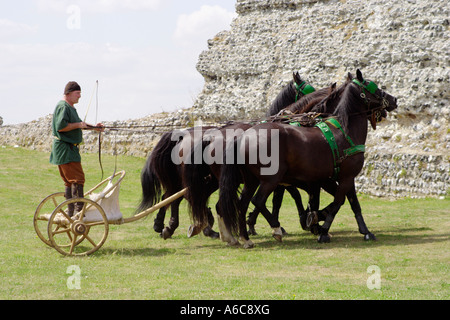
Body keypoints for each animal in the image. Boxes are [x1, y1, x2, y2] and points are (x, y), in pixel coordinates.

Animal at [218, 69, 398, 246]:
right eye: (374, 87)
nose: (394, 99)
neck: (345, 131)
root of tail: (244, 136)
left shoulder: (340, 178)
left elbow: (353, 203)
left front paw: (364, 231)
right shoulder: (339, 178)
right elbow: (337, 203)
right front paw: (322, 229)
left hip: (252, 181)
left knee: (241, 204)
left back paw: (244, 237)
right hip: (270, 180)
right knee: (256, 201)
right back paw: (273, 228)